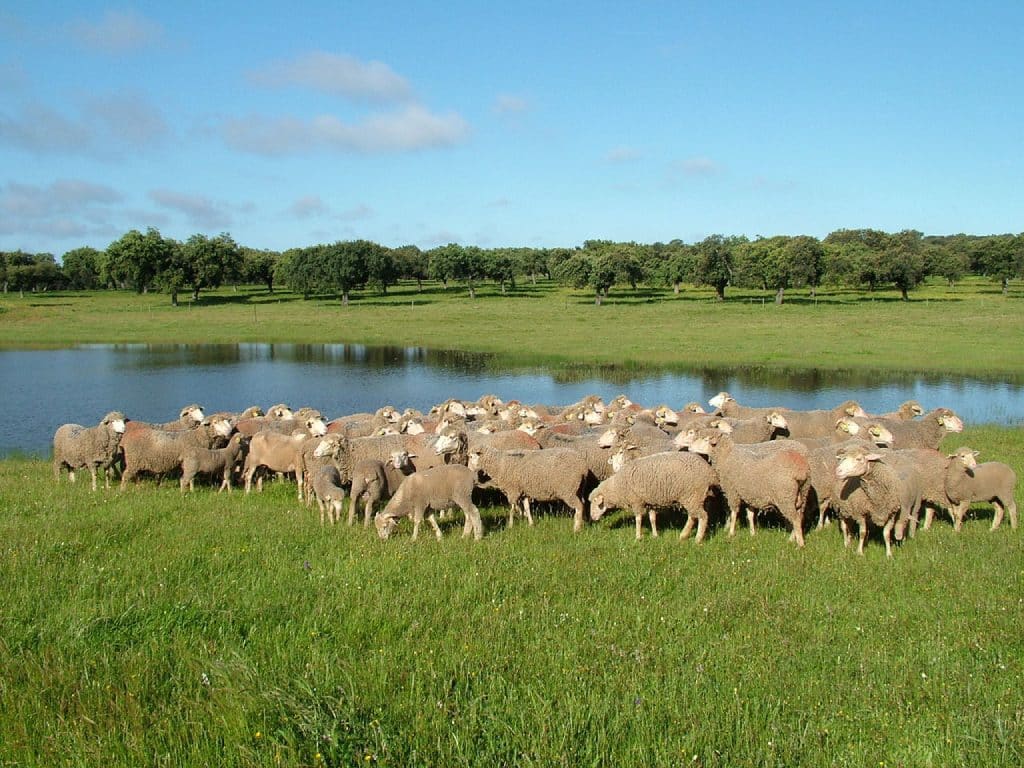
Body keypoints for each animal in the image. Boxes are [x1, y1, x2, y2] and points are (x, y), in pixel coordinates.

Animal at [589, 451, 718, 541]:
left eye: (595, 503)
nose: (592, 518)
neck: (618, 486)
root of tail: (710, 473)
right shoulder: (650, 502)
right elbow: (652, 519)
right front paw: (655, 535)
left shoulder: (637, 501)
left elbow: (638, 519)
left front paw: (638, 537)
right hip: (694, 497)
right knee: (692, 516)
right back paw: (683, 535)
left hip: (693, 494)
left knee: (703, 516)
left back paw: (697, 539)